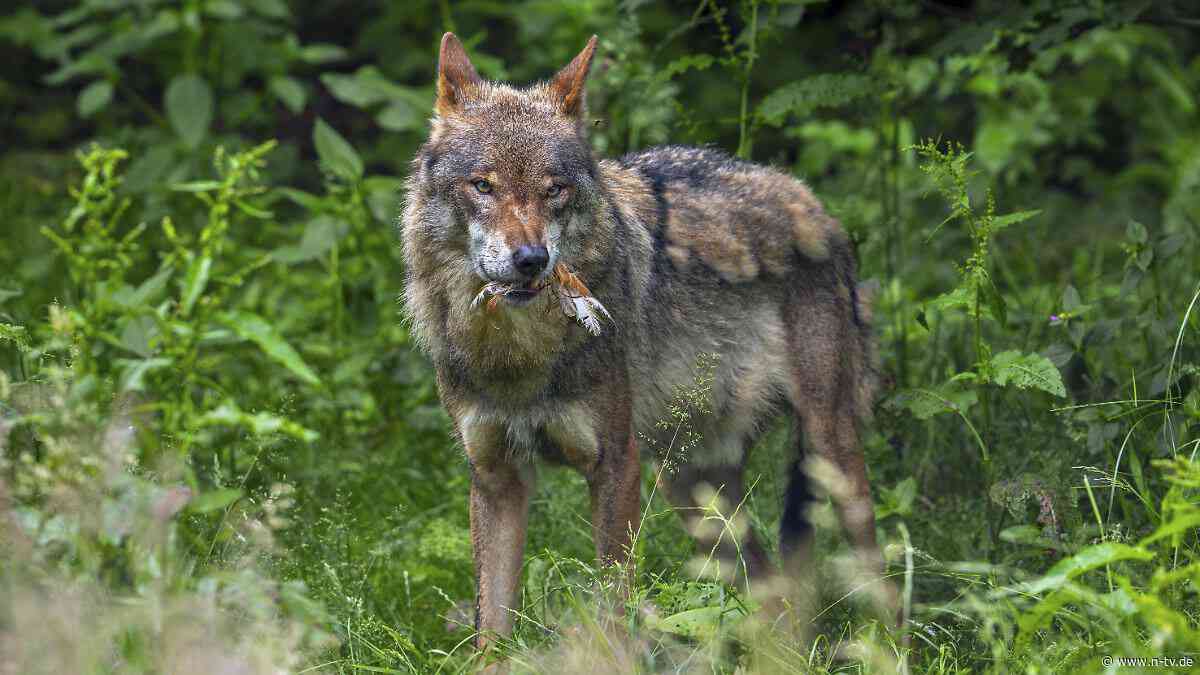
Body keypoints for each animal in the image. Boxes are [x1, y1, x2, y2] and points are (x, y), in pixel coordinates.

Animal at [402, 33, 889, 651]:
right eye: (482, 185)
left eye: (555, 190)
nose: (532, 259)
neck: (519, 358)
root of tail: (815, 206)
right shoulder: (495, 479)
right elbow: (492, 634)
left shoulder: (615, 465)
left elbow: (612, 614)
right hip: (695, 492)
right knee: (773, 595)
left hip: (829, 456)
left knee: (883, 581)